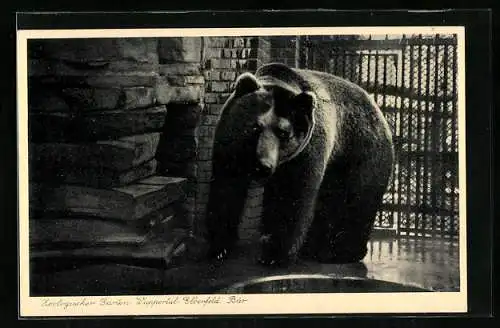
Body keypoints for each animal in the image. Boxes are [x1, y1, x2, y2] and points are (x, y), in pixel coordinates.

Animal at [203, 62, 394, 266]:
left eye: (283, 133)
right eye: (255, 127)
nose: (263, 165)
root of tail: (377, 107)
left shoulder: (306, 152)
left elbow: (293, 195)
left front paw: (274, 254)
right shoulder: (230, 145)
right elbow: (226, 187)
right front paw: (219, 247)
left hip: (360, 152)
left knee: (356, 200)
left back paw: (339, 252)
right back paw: (314, 248)